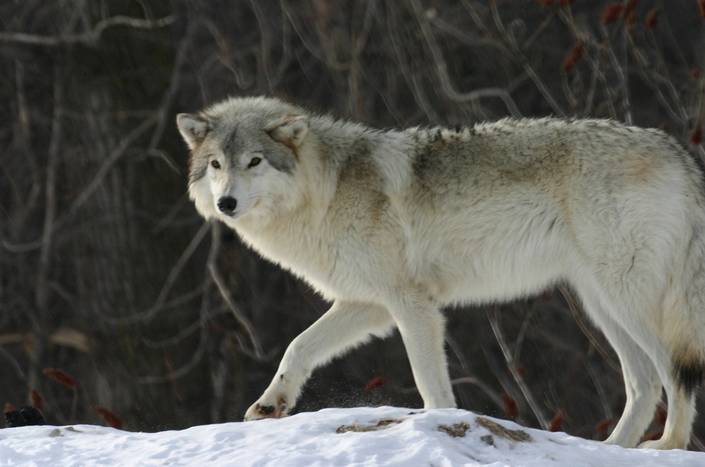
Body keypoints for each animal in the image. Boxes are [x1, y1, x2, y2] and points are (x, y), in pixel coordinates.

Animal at [179, 95, 704, 450]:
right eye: (216, 165)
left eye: (254, 161)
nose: (226, 204)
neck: (324, 191)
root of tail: (678, 152)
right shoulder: (368, 305)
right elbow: (298, 346)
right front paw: (272, 404)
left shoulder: (412, 304)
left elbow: (430, 383)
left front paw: (435, 427)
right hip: (602, 306)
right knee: (644, 383)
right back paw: (614, 448)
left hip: (630, 302)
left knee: (675, 372)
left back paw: (669, 445)